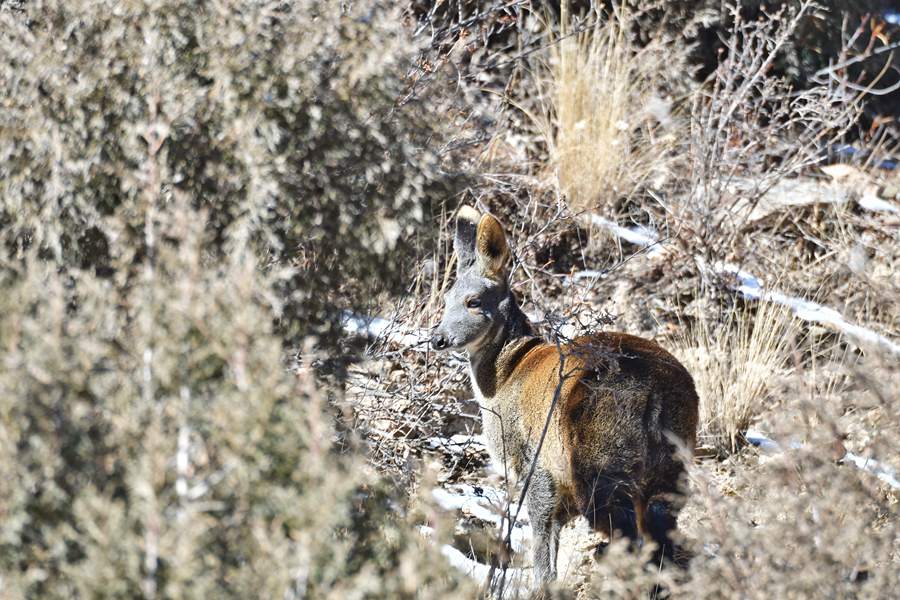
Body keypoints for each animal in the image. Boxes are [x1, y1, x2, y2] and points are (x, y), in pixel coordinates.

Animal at [430, 206, 704, 584]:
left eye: (473, 302)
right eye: (446, 300)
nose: (438, 339)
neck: (506, 375)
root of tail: (654, 392)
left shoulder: (534, 460)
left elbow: (543, 536)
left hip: (600, 461)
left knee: (629, 535)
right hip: (672, 463)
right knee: (661, 535)